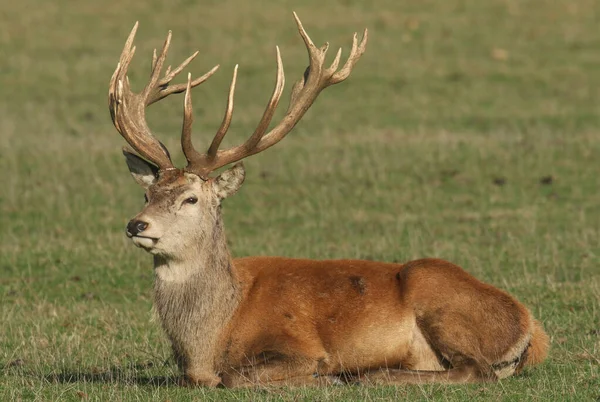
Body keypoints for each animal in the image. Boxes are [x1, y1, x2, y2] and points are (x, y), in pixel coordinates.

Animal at [108, 14, 548, 388]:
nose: (136, 224)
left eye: (191, 199)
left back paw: (372, 375)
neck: (210, 340)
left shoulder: (299, 344)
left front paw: (327, 377)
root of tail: (530, 327)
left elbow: (235, 376)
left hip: (437, 295)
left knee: (476, 370)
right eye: (147, 193)